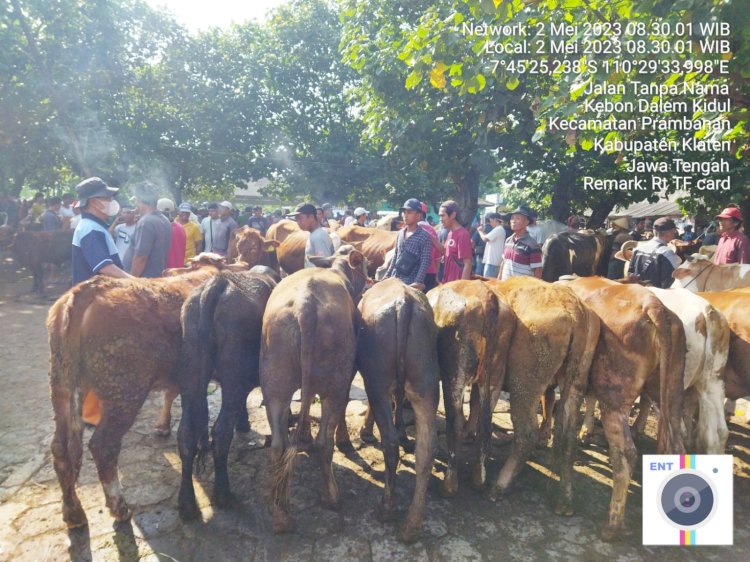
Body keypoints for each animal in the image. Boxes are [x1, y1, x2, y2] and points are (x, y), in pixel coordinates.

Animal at [178, 266, 280, 516]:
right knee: (221, 431)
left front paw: (243, 422)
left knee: (186, 433)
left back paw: (187, 503)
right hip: (233, 372)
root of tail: (216, 284)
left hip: (191, 373)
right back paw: (223, 494)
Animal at [262, 244, 370, 528]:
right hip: (336, 364)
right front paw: (343, 440)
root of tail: (305, 305)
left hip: (274, 367)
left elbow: (307, 397)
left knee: (278, 441)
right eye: (365, 263)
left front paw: (304, 436)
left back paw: (279, 513)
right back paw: (332, 497)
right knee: (325, 439)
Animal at [356, 278, 440, 540]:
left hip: (377, 376)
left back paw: (387, 509)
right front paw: (404, 432)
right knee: (427, 448)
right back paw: (411, 526)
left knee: (390, 442)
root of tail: (404, 302)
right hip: (427, 383)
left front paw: (366, 430)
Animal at [428, 278, 516, 494]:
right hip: (495, 374)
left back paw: (450, 483)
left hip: (454, 373)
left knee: (455, 422)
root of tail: (487, 297)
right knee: (485, 424)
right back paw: (479, 478)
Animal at [564, 276, 688, 540]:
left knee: (626, 454)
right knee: (677, 446)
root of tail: (653, 305)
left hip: (615, 398)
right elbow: (590, 400)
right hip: (671, 392)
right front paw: (585, 431)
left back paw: (612, 525)